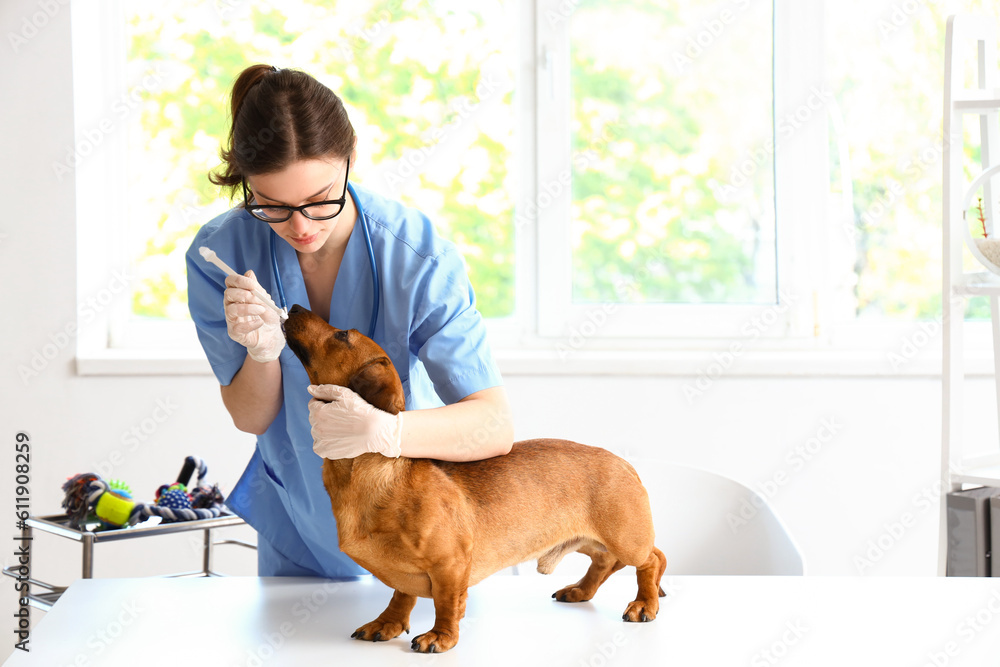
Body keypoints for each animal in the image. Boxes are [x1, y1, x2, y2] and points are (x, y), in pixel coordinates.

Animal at [282, 302, 668, 652]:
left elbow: (445, 603)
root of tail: (623, 462)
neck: (376, 473)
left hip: (626, 539)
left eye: (343, 335)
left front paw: (441, 636)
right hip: (591, 540)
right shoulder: (407, 573)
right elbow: (401, 595)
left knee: (653, 559)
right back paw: (581, 590)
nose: (295, 306)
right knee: (605, 562)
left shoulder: (450, 564)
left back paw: (645, 603)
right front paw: (387, 623)